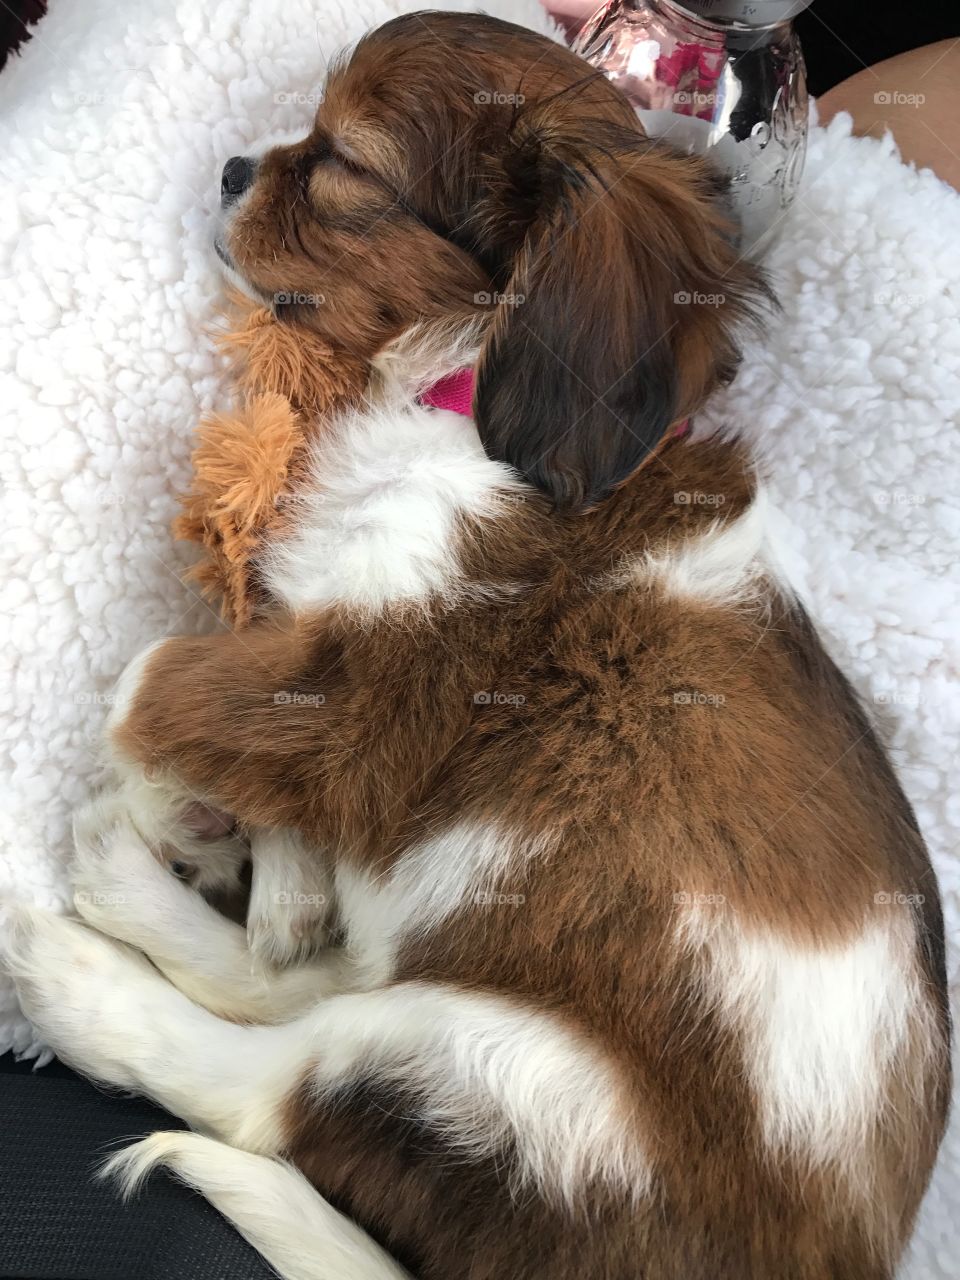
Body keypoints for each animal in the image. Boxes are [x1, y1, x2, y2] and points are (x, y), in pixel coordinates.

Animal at [3, 12, 952, 1280]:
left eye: (346, 164)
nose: (233, 169)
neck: (460, 407)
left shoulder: (378, 682)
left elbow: (143, 679)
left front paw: (196, 815)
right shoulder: (326, 670)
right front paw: (265, 858)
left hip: (495, 1068)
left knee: (262, 1080)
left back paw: (82, 950)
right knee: (306, 985)